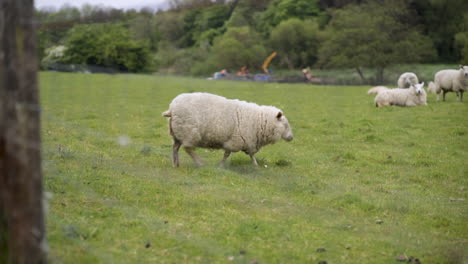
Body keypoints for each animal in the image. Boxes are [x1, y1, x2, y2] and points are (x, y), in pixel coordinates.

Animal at [161, 93, 292, 167]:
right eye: (285, 125)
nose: (291, 137)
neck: (260, 121)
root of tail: (172, 108)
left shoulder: (248, 142)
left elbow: (251, 155)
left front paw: (255, 165)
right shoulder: (236, 140)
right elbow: (227, 154)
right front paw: (221, 165)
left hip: (178, 133)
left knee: (175, 148)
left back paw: (175, 164)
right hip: (189, 133)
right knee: (187, 148)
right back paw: (199, 163)